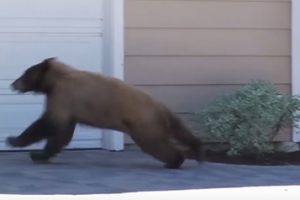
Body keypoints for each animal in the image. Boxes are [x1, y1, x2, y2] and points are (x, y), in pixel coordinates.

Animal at [5, 57, 204, 169]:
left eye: (25, 73)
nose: (13, 84)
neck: (55, 80)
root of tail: (163, 108)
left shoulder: (64, 96)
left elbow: (49, 124)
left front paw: (14, 140)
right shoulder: (68, 105)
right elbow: (62, 133)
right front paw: (40, 155)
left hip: (143, 125)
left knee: (155, 145)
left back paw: (174, 161)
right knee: (181, 133)